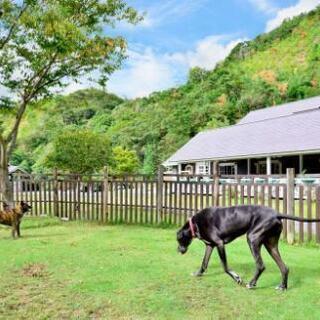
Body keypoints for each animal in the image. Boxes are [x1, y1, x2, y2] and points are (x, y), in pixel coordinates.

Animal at [176, 205, 320, 290]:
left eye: (178, 239)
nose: (178, 251)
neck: (195, 224)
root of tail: (275, 214)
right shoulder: (210, 245)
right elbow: (204, 263)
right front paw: (198, 273)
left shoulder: (219, 244)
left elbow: (225, 267)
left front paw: (237, 278)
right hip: (270, 245)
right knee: (284, 267)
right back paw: (282, 287)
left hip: (252, 238)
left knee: (261, 265)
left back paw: (251, 283)